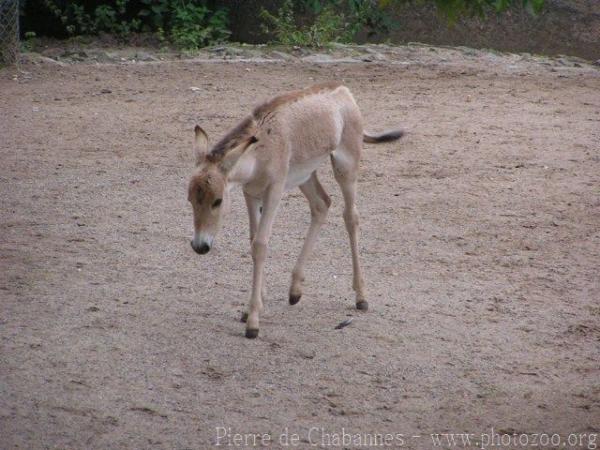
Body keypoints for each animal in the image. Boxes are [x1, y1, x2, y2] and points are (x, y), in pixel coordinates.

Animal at [189, 83, 404, 338]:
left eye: (218, 201)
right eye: (190, 200)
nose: (200, 246)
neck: (261, 149)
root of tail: (344, 91)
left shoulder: (274, 191)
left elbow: (260, 244)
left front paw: (253, 321)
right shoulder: (250, 193)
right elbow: (253, 240)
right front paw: (251, 308)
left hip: (346, 166)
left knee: (351, 217)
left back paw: (361, 297)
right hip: (306, 174)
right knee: (321, 205)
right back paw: (295, 291)